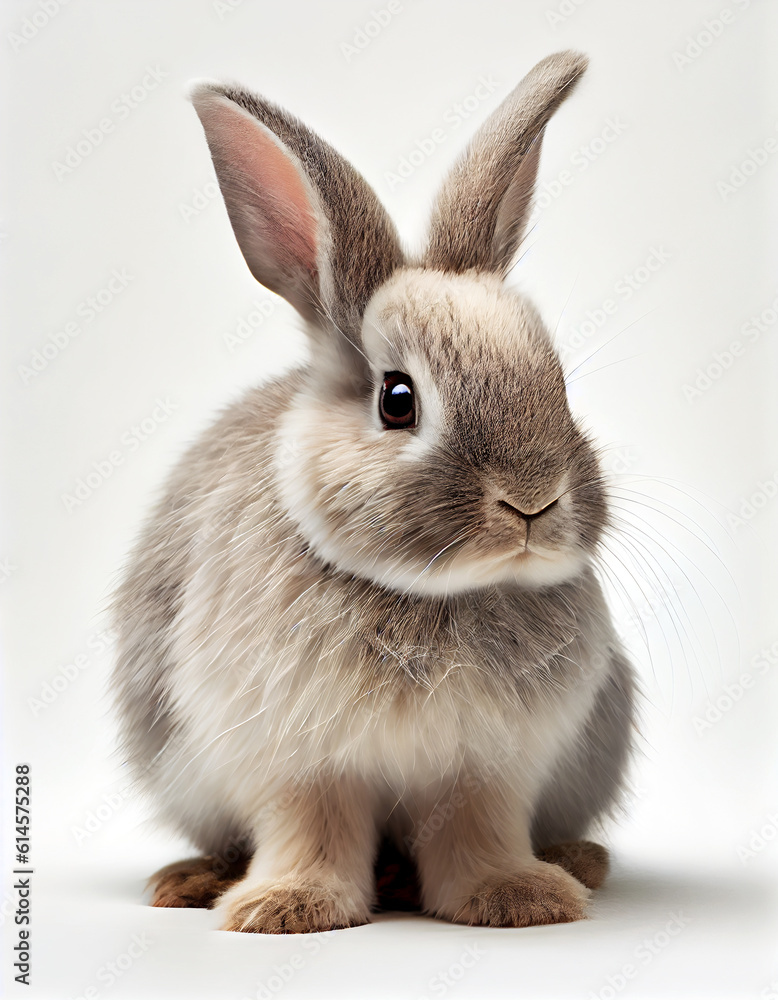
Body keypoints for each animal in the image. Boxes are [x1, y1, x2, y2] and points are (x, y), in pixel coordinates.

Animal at [112, 50, 632, 932]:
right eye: (397, 399)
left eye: (556, 383)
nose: (532, 499)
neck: (431, 594)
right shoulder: (297, 759)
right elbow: (309, 828)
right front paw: (289, 908)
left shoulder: (489, 766)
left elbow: (479, 830)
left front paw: (519, 899)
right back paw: (189, 881)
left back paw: (573, 861)